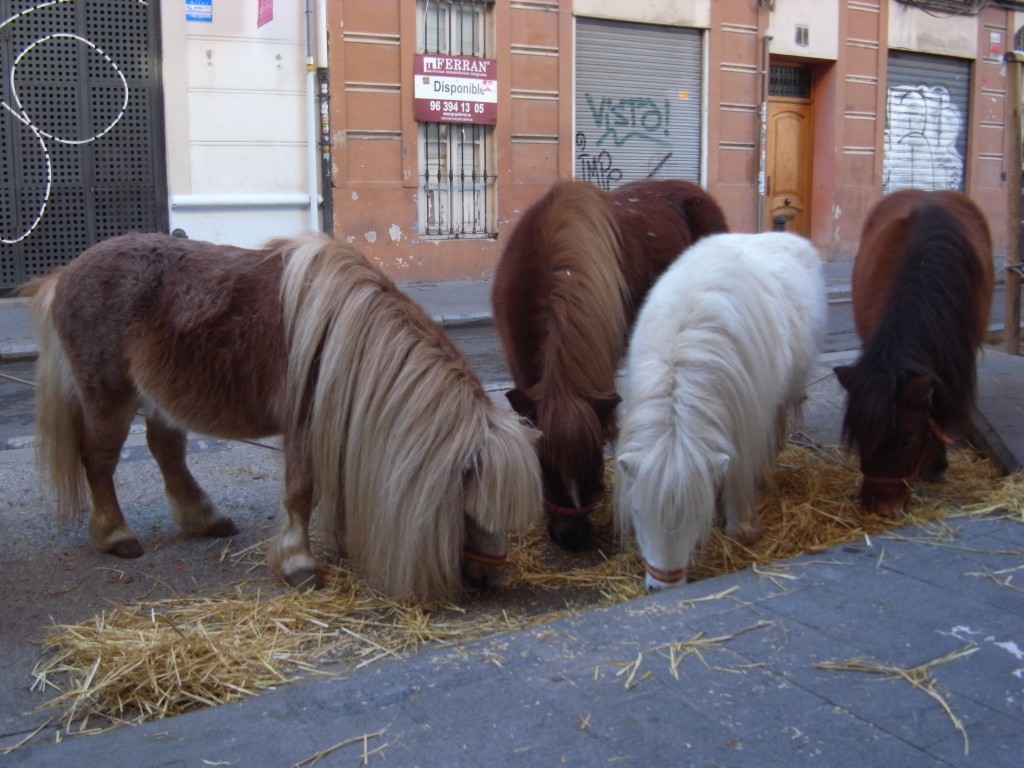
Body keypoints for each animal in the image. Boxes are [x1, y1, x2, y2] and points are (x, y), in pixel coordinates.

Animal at [29, 231, 544, 606]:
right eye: (471, 508)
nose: (489, 579)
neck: (346, 336)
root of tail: (65, 273)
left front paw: (342, 543)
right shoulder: (304, 428)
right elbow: (302, 491)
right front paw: (300, 565)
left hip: (157, 397)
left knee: (166, 450)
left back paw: (204, 517)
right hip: (109, 398)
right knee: (99, 463)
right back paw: (117, 536)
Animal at [610, 231, 827, 593]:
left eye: (697, 515)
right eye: (638, 511)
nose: (662, 589)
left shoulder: (747, 419)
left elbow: (741, 469)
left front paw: (742, 526)